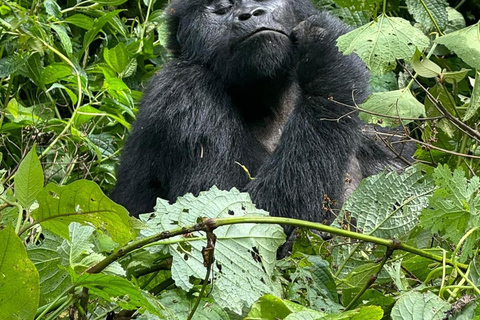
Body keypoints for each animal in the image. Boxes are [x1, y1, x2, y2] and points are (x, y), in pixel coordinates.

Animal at [110, 0, 400, 225]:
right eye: (221, 8)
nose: (250, 13)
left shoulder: (379, 115)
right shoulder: (181, 91)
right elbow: (245, 220)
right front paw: (328, 57)